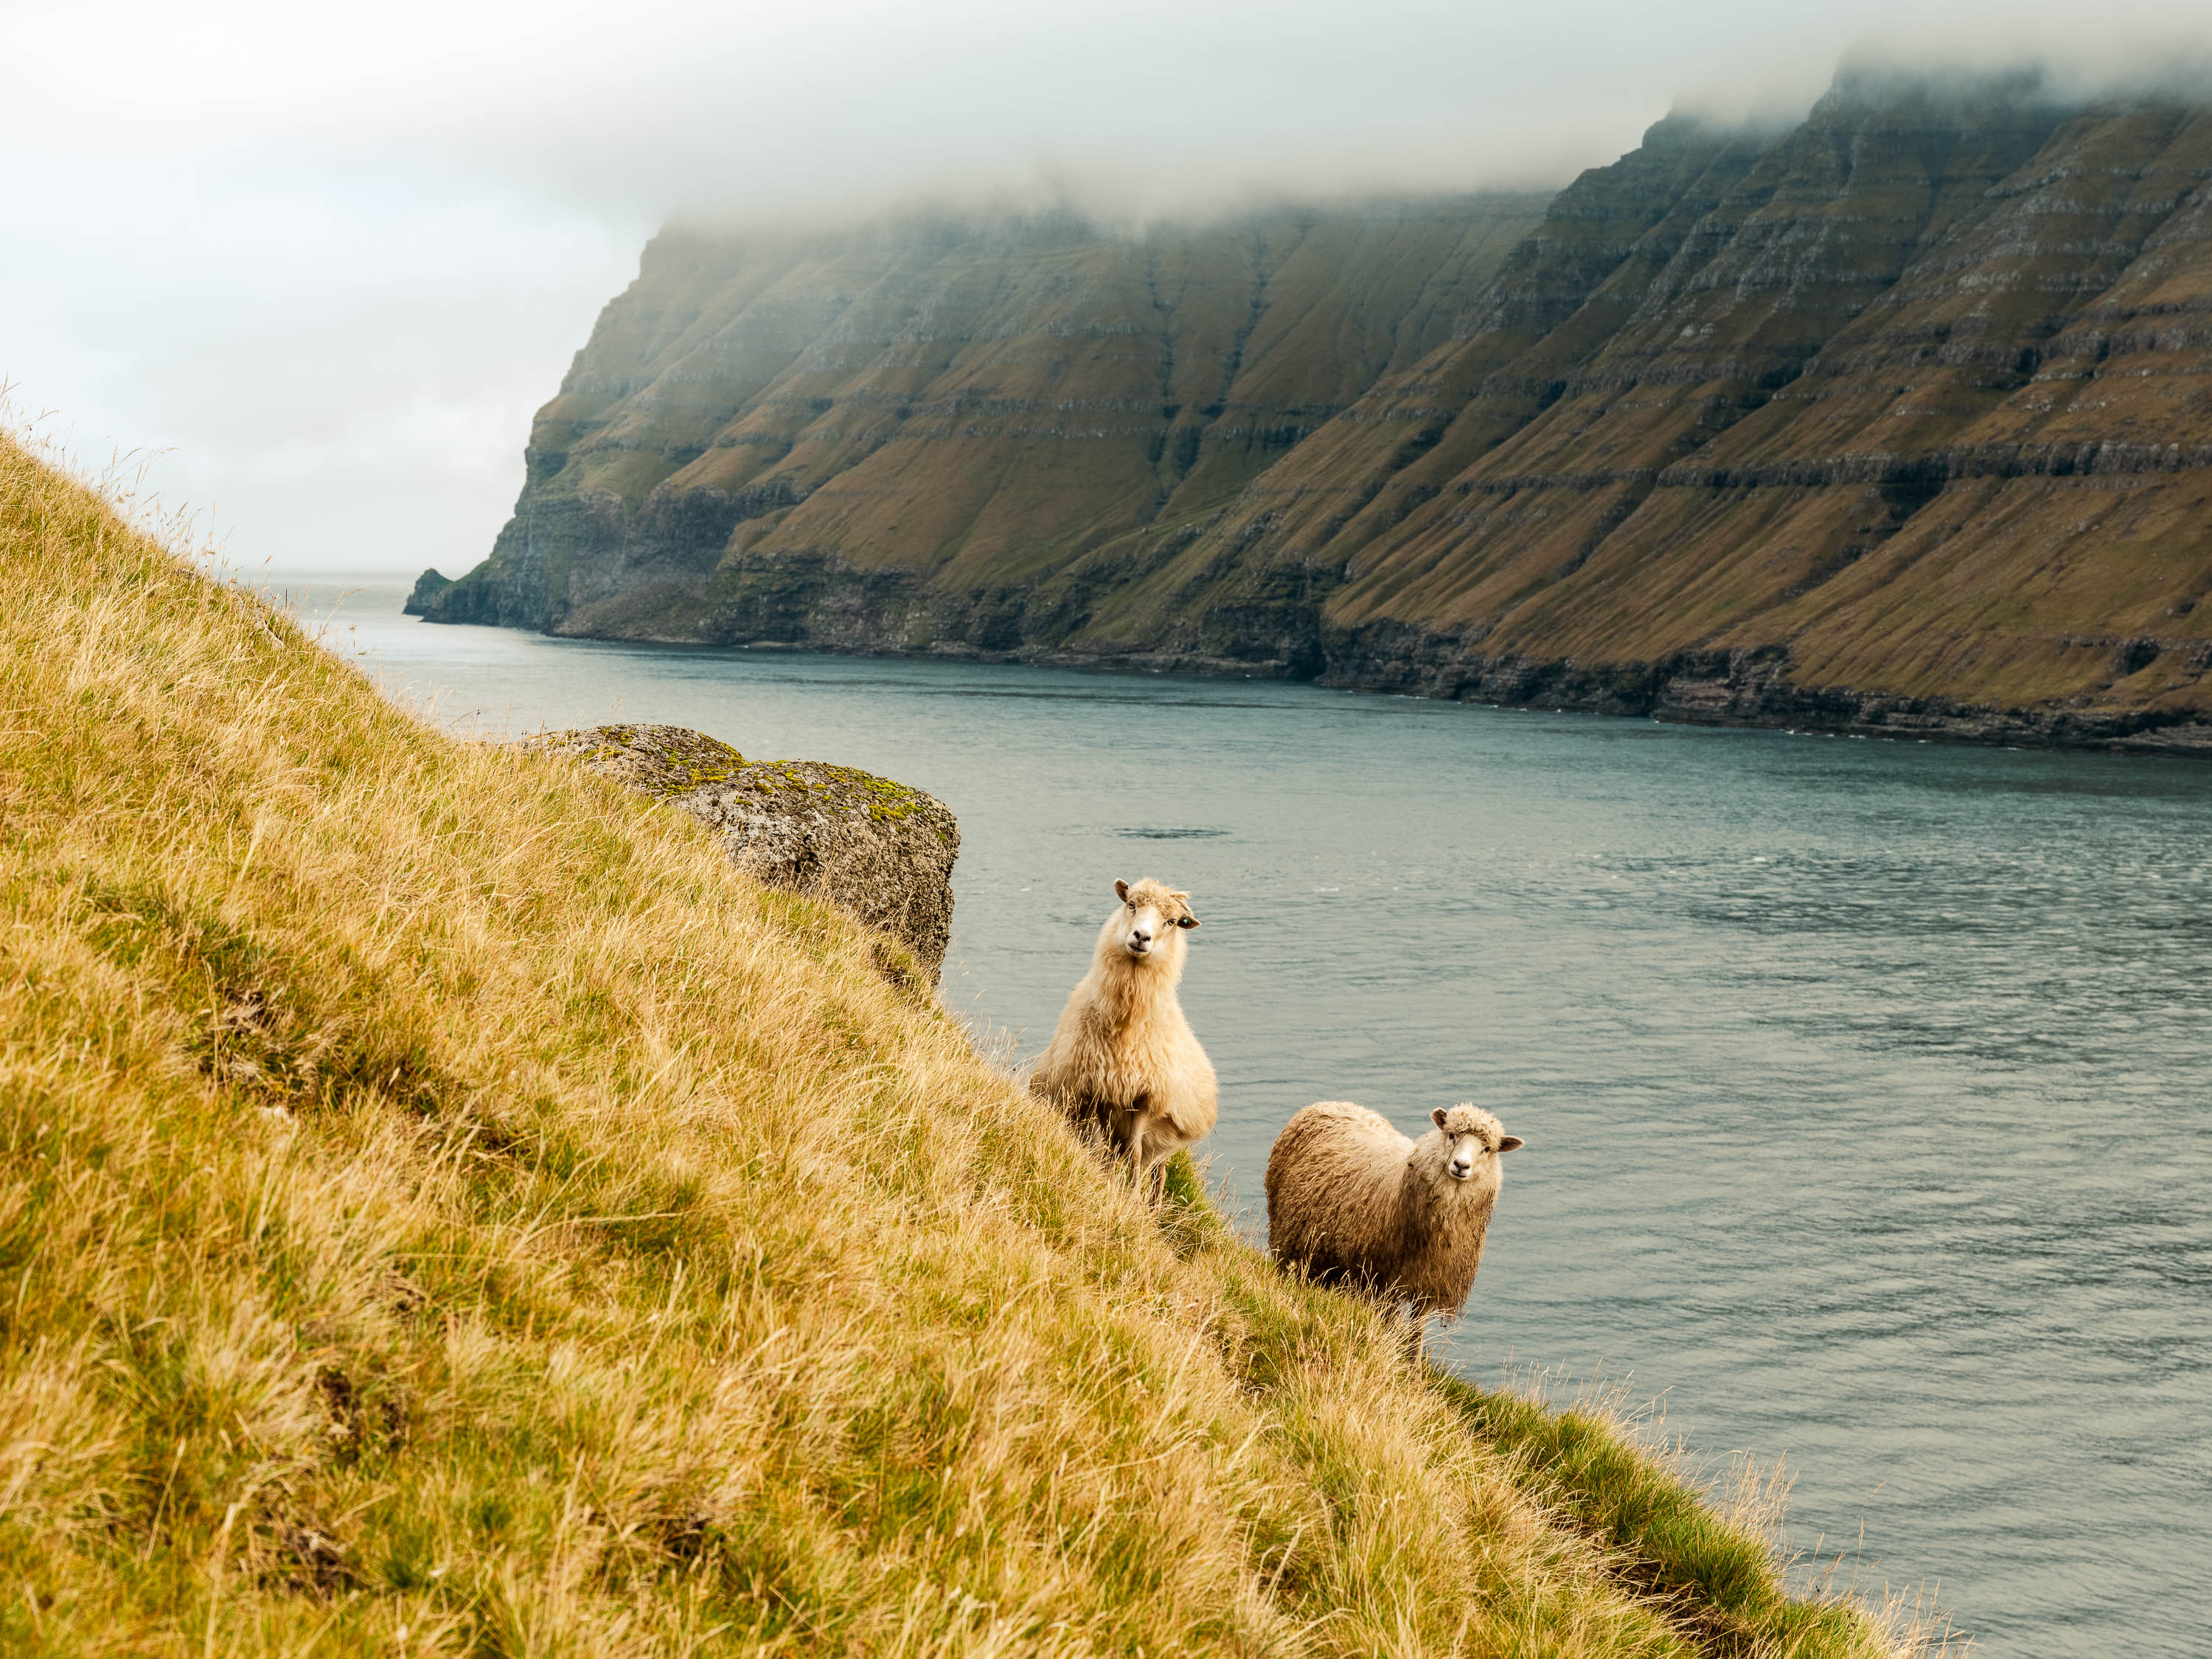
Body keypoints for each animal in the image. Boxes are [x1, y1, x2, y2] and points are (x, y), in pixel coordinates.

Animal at [1026, 876, 1221, 1186]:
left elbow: (1134, 1155)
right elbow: (1097, 1149)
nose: (1141, 937)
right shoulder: (1093, 1091)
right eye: (1131, 904)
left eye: (1172, 921)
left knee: (1157, 1170)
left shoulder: (1145, 1098)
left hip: (1164, 1139)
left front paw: (1132, 1195)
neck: (1126, 1026)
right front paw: (1103, 1183)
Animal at [1265, 1110, 1522, 1336]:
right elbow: (1390, 1326)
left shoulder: (1427, 1285)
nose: (1461, 1165)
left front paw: (1411, 1361)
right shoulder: (1386, 1280)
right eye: (1451, 1135)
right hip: (1289, 1244)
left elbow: (1416, 1335)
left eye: (1488, 1149)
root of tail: (1328, 1103)